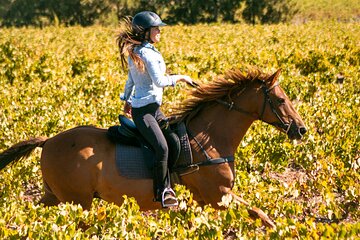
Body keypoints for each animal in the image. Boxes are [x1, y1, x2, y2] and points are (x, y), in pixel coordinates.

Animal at [0, 68, 306, 229]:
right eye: (280, 100)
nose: (301, 129)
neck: (209, 139)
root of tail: (48, 141)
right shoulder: (218, 195)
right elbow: (260, 214)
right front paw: (280, 229)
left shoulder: (202, 201)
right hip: (78, 202)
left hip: (56, 197)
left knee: (33, 211)